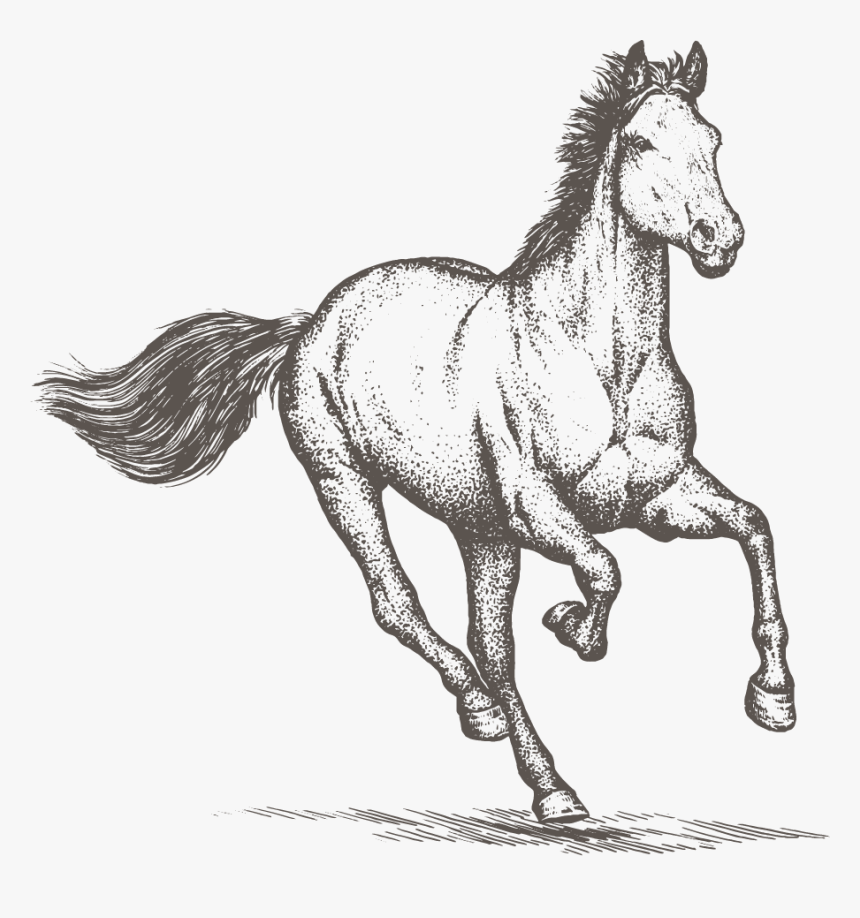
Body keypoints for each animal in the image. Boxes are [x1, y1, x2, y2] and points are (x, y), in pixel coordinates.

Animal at [39, 40, 795, 824]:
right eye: (644, 143)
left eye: (713, 140)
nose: (720, 239)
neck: (601, 362)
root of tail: (309, 324)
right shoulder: (537, 510)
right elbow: (604, 571)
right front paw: (573, 627)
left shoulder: (657, 497)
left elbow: (754, 527)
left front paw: (772, 701)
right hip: (349, 487)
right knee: (403, 609)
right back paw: (524, 759)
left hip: (480, 531)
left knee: (490, 644)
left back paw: (527, 758)